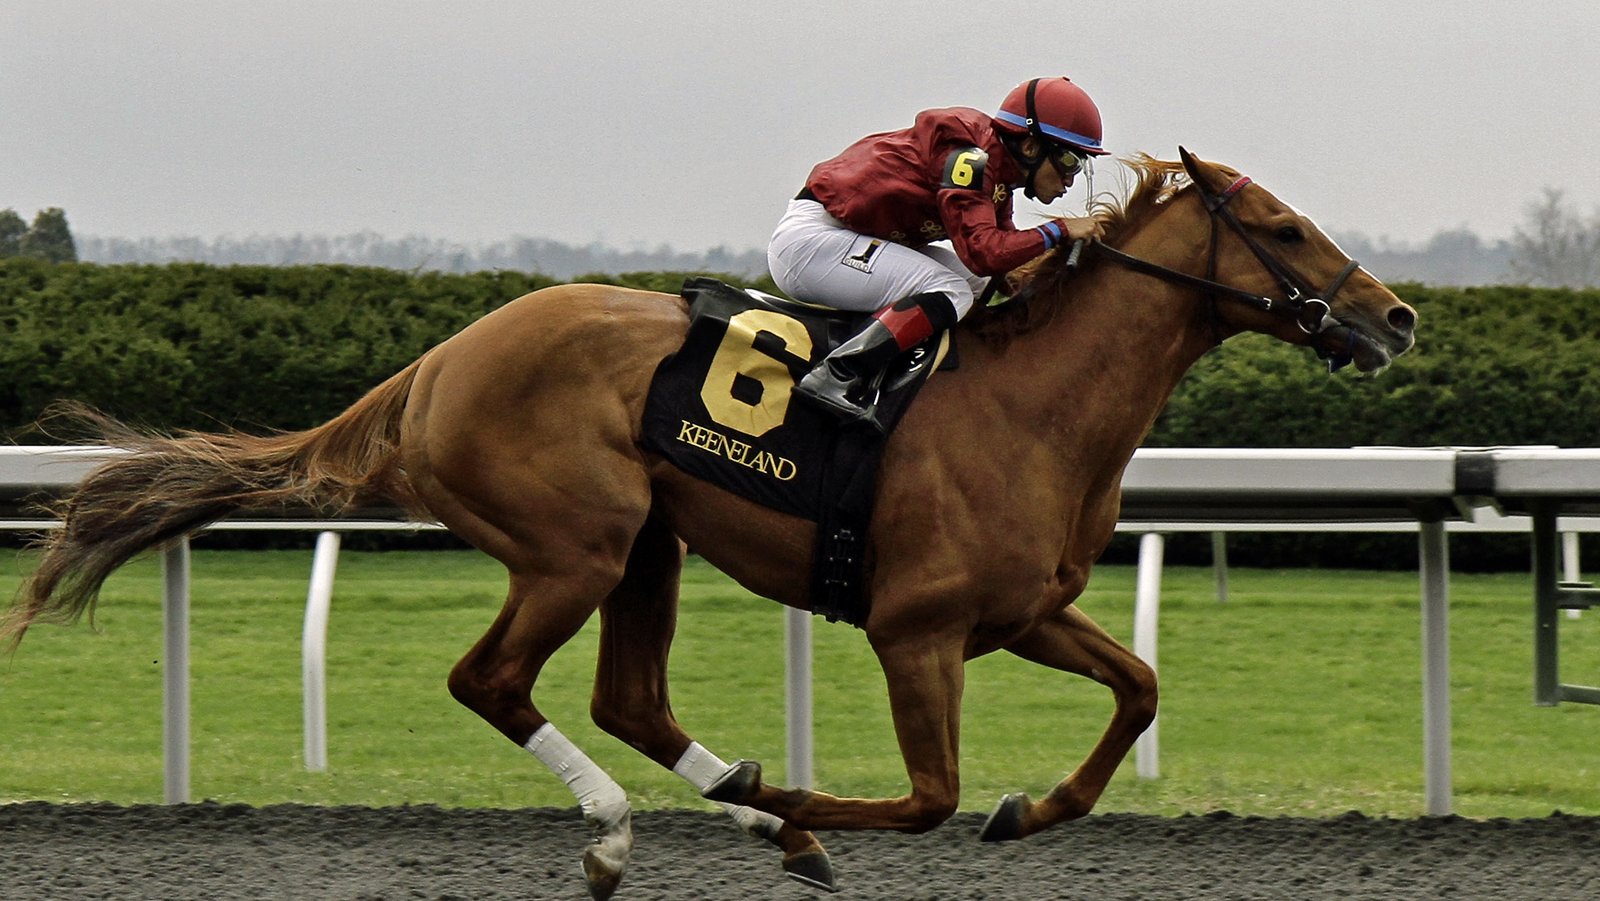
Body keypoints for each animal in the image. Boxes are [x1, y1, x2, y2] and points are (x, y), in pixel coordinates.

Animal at [6, 151, 1420, 896]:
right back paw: (629, 828)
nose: (1396, 315)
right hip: (575, 541)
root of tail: (439, 361)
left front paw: (1023, 810)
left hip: (650, 540)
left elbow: (1137, 690)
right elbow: (926, 796)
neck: (1032, 403)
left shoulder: (1022, 613)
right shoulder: (914, 629)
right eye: (1284, 226)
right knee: (492, 678)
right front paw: (788, 797)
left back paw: (727, 810)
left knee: (629, 696)